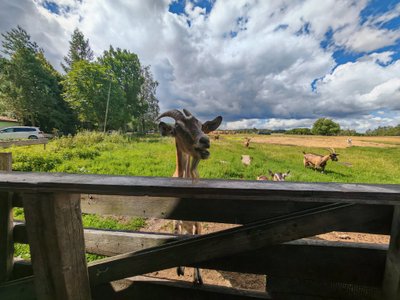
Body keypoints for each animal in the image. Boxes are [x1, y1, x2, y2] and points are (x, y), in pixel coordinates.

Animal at [156, 107, 222, 284]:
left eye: (201, 126)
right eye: (177, 128)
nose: (205, 140)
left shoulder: (198, 220)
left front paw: (197, 278)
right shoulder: (174, 218)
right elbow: (177, 234)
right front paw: (180, 269)